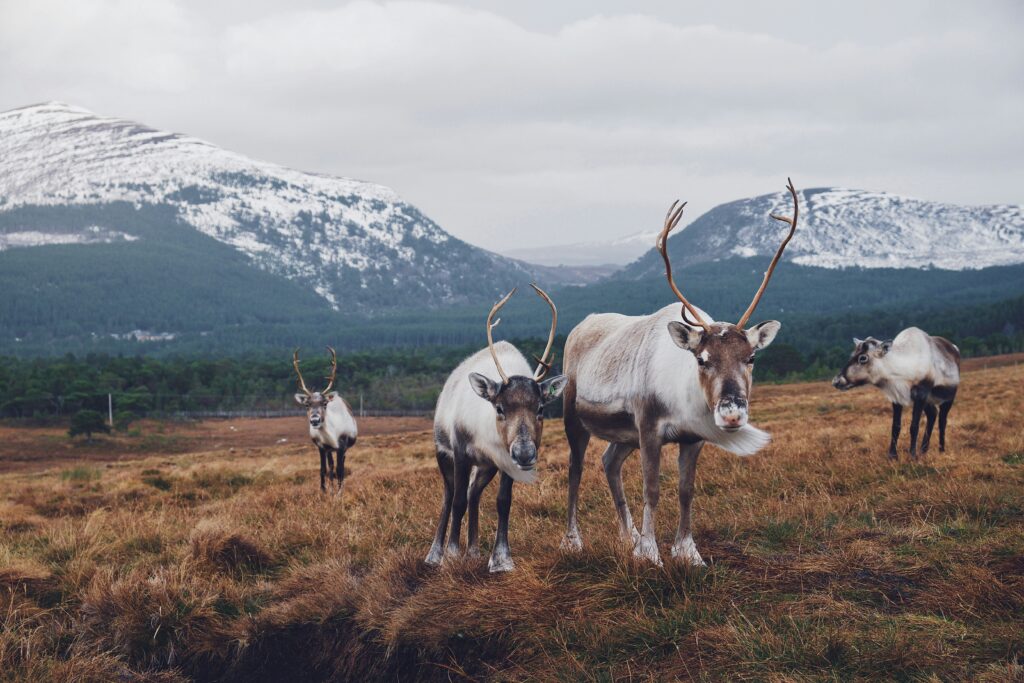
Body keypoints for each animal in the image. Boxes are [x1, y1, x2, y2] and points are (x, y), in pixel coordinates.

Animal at [293, 347, 358, 494]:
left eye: (324, 403)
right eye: (307, 404)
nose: (315, 420)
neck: (332, 435)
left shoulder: (342, 445)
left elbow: (340, 470)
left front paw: (340, 492)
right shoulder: (322, 447)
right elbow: (323, 469)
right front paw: (324, 491)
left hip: (343, 449)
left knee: (341, 464)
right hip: (329, 451)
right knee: (331, 466)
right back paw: (332, 488)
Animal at [426, 284, 567, 573]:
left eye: (540, 408)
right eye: (499, 407)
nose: (524, 453)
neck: (485, 436)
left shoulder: (503, 461)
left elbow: (503, 502)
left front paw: (501, 559)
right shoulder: (460, 453)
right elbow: (456, 502)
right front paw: (451, 555)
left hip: (486, 467)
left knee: (473, 494)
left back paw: (473, 551)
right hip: (442, 452)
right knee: (450, 495)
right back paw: (435, 554)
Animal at [560, 179, 799, 567]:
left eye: (751, 358)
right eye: (701, 358)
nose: (731, 413)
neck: (681, 400)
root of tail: (581, 325)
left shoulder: (692, 437)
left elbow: (686, 490)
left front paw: (688, 552)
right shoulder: (648, 428)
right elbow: (652, 489)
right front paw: (650, 553)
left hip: (623, 434)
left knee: (609, 462)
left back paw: (628, 536)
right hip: (574, 415)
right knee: (575, 469)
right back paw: (574, 541)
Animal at [832, 329, 960, 460]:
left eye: (863, 358)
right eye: (852, 355)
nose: (836, 381)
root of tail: (954, 348)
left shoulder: (920, 393)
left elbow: (914, 426)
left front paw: (912, 455)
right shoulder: (897, 397)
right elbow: (895, 426)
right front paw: (892, 455)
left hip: (948, 397)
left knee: (942, 420)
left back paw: (941, 449)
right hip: (929, 400)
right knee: (933, 413)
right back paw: (923, 450)